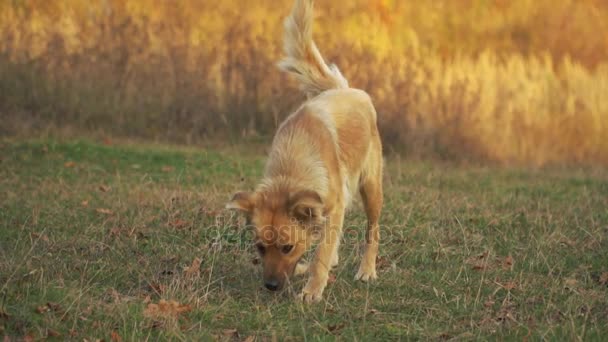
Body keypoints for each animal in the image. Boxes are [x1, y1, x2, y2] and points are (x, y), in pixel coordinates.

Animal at [226, 0, 382, 304]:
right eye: (260, 247)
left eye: (287, 247)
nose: (271, 286)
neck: (293, 165)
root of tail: (347, 90)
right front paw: (307, 272)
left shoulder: (334, 206)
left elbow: (321, 253)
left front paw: (312, 290)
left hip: (370, 188)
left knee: (372, 231)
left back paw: (367, 270)